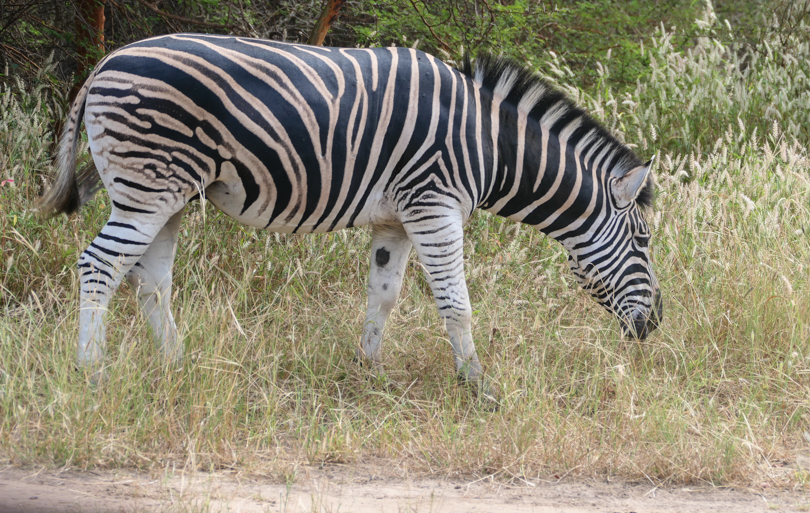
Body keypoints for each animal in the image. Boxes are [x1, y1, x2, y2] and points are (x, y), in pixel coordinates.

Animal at [39, 35, 664, 388]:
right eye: (643, 242)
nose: (654, 326)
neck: (490, 145)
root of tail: (106, 61)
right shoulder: (435, 206)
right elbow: (456, 305)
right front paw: (479, 385)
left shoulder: (397, 219)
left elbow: (383, 297)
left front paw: (371, 373)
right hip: (148, 187)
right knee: (99, 266)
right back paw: (91, 374)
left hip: (166, 196)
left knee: (150, 282)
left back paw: (177, 367)